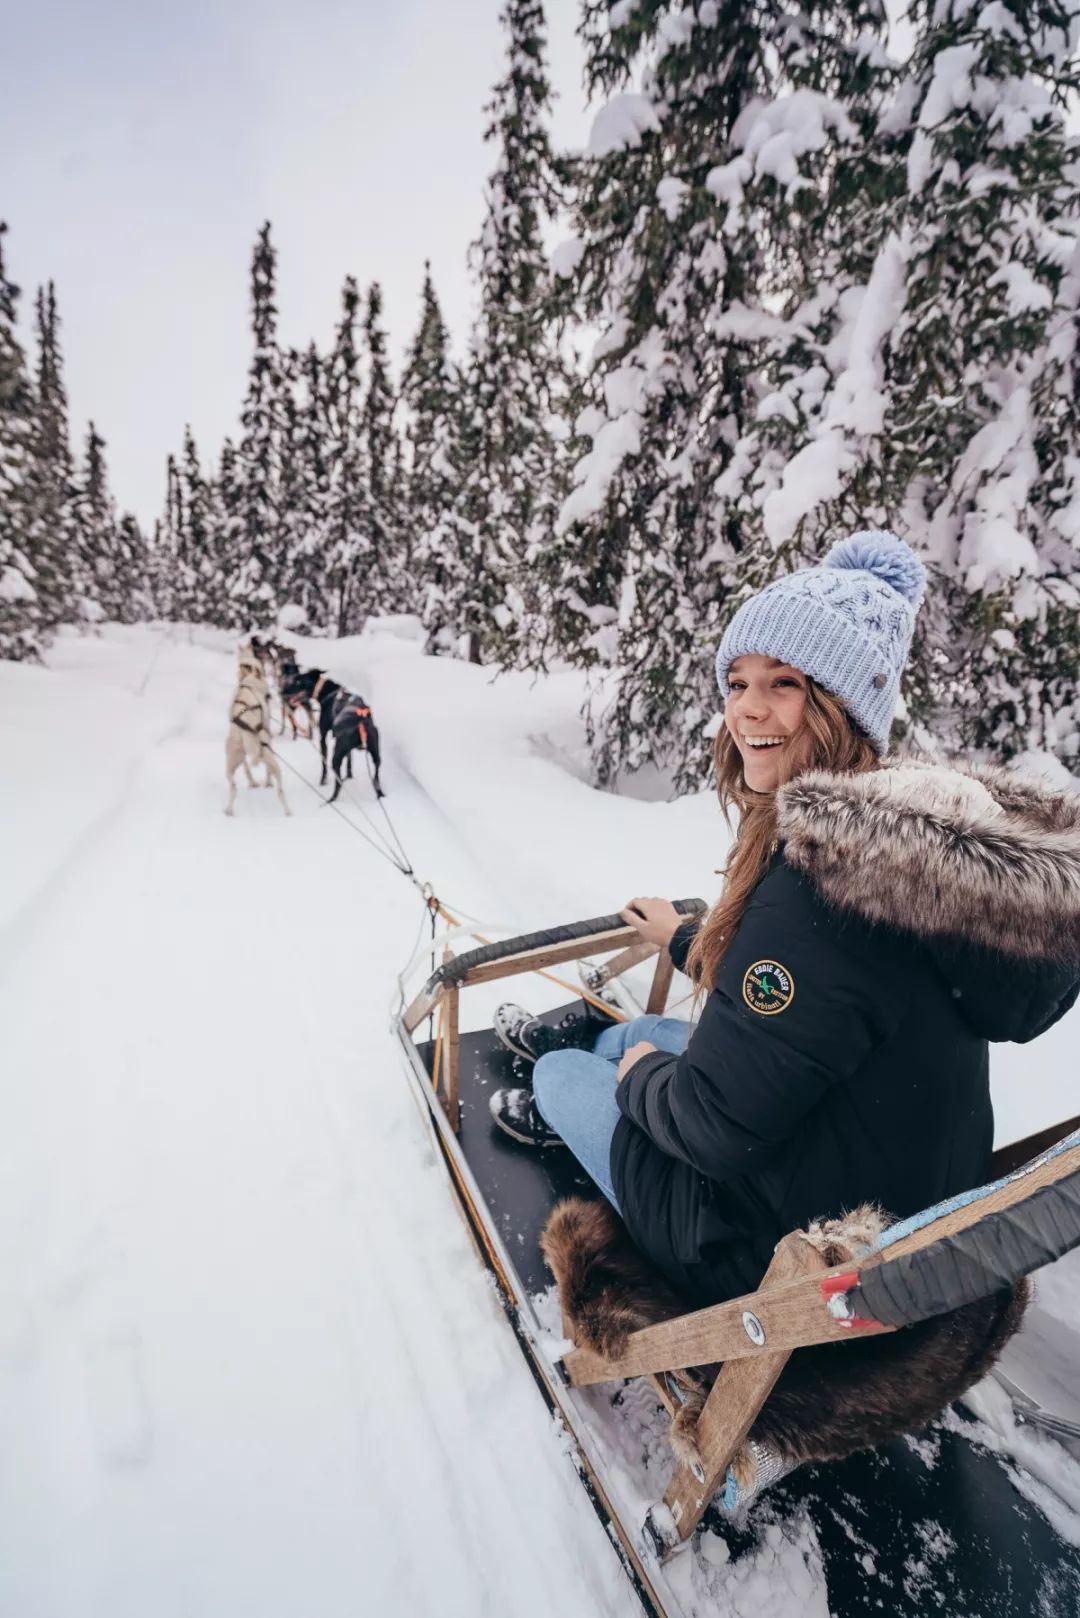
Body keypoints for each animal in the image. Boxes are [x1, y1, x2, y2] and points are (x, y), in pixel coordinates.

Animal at [225, 643, 291, 815]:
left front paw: (253, 782)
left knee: (233, 787)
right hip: (271, 758)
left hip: (230, 761)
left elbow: (247, 769)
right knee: (280, 789)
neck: (250, 676)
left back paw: (228, 810)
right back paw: (287, 811)